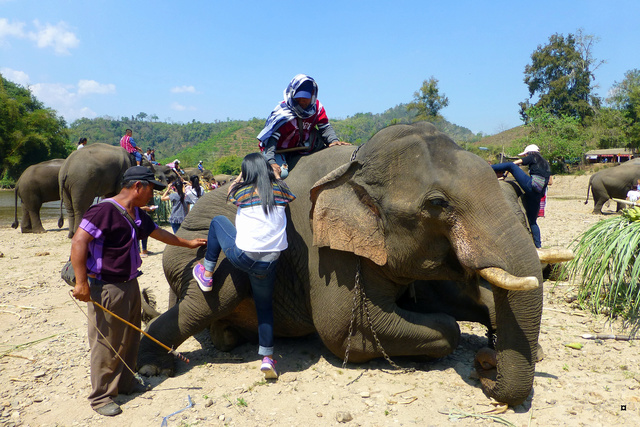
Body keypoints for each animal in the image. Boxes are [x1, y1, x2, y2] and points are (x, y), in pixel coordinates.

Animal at [138, 122, 568, 406]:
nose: (486, 370)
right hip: (197, 254)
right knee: (219, 291)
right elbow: (346, 328)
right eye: (437, 204)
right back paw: (153, 368)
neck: (356, 164)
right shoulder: (325, 253)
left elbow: (440, 297)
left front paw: (528, 349)